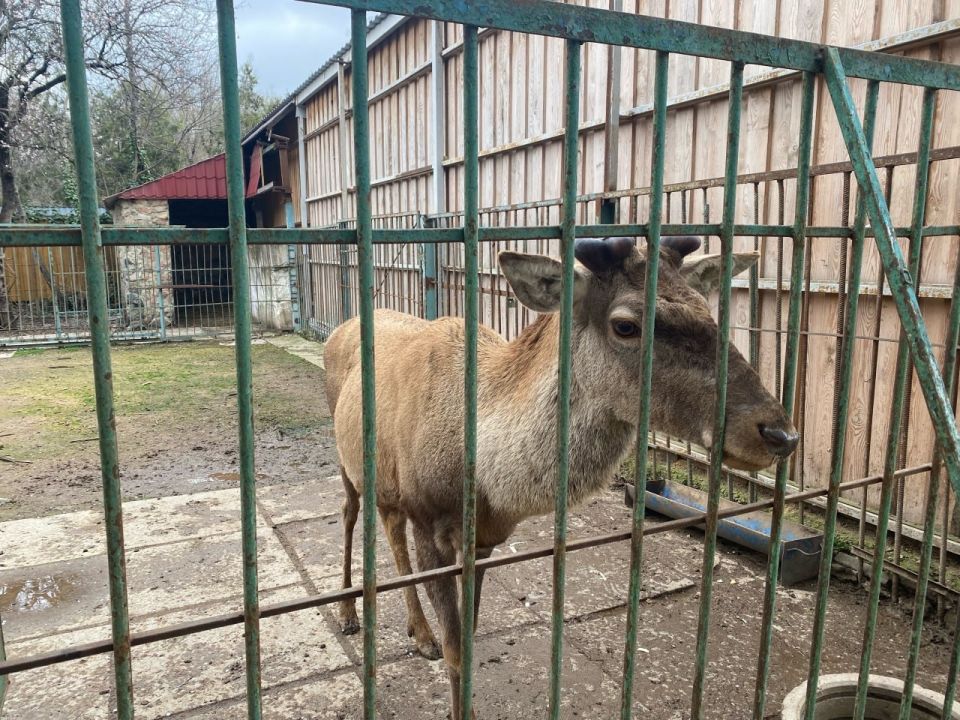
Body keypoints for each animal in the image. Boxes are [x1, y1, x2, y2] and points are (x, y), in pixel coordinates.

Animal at [323, 235, 799, 719]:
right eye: (625, 325)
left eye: (707, 309)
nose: (779, 432)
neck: (485, 483)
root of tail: (341, 327)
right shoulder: (428, 518)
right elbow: (456, 650)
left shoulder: (482, 542)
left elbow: (470, 642)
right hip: (344, 452)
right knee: (349, 513)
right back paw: (350, 614)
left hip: (384, 481)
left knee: (388, 524)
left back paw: (416, 632)